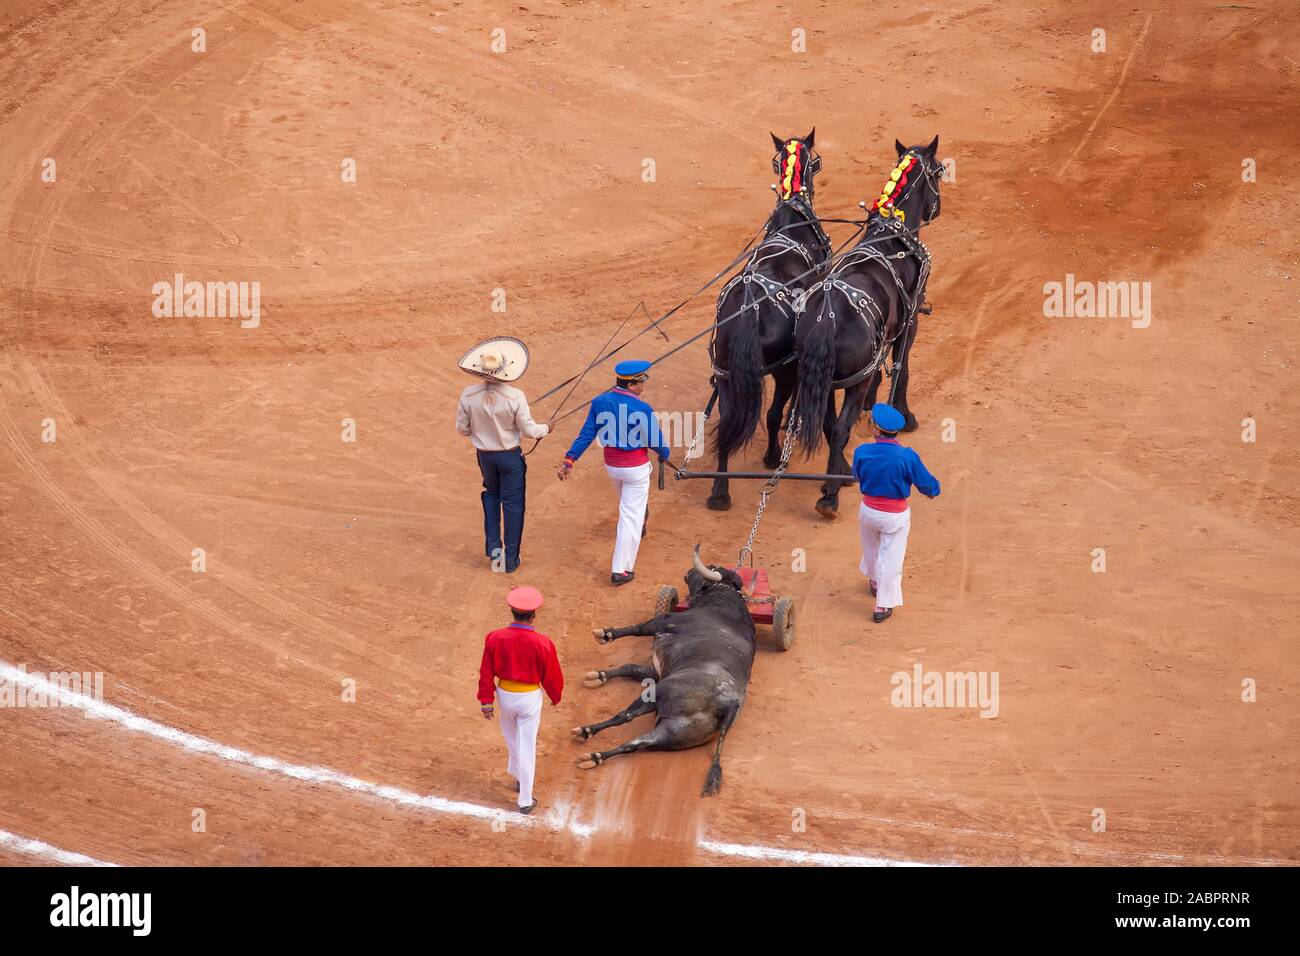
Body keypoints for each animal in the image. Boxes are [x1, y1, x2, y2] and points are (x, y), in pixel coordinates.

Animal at [577, 546, 754, 790]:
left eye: (712, 568)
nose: (688, 572)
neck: (723, 605)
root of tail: (727, 703)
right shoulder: (655, 671)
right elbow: (630, 668)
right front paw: (599, 676)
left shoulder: (666, 622)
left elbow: (638, 628)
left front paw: (605, 634)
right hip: (672, 733)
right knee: (634, 744)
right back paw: (595, 757)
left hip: (658, 693)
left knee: (625, 716)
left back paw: (587, 731)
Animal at [702, 132, 832, 515]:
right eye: (815, 161)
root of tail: (748, 306)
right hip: (783, 369)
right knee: (772, 413)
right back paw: (774, 456)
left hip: (726, 373)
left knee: (728, 422)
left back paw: (720, 492)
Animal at [785, 136, 941, 515]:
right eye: (939, 172)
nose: (938, 207)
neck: (893, 235)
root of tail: (827, 318)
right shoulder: (910, 323)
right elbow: (902, 368)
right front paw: (903, 414)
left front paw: (875, 406)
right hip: (848, 381)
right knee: (838, 428)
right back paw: (830, 493)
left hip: (826, 379)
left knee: (830, 426)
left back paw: (840, 470)